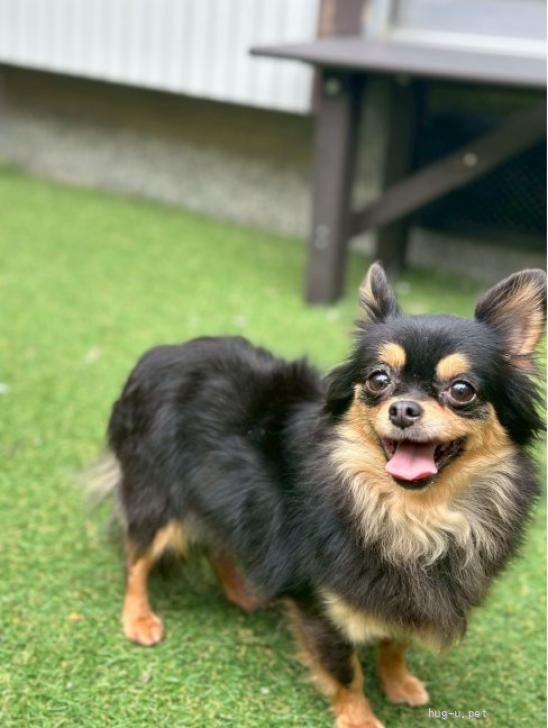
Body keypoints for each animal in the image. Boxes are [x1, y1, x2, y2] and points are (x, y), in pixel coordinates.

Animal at [91, 264, 545, 728]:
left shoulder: (402, 596)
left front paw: (399, 682)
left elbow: (395, 643)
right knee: (136, 558)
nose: (403, 409)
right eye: (378, 379)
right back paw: (138, 618)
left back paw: (245, 592)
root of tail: (159, 355)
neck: (415, 515)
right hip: (156, 498)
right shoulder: (321, 603)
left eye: (462, 390)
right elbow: (345, 670)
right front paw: (359, 718)